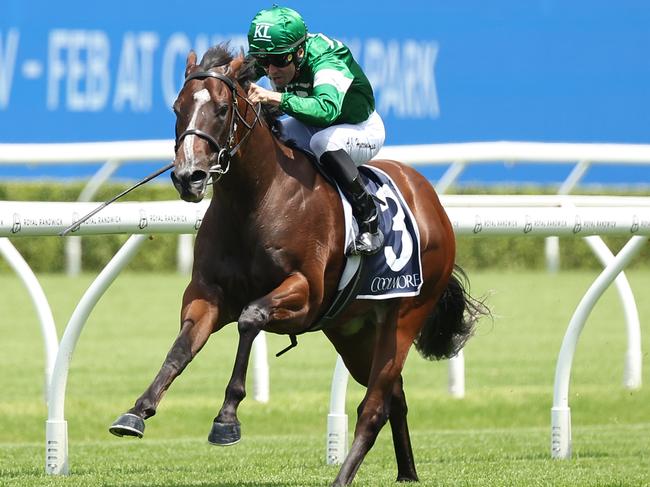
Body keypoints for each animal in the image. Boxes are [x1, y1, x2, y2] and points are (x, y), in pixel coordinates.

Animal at [107, 43, 480, 486]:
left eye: (221, 109)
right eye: (177, 107)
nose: (189, 177)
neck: (257, 199)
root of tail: (431, 199)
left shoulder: (305, 293)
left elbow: (250, 318)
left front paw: (227, 419)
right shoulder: (207, 293)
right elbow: (181, 347)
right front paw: (136, 411)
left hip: (404, 317)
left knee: (374, 408)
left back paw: (343, 477)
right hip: (352, 330)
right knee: (395, 396)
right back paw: (407, 473)